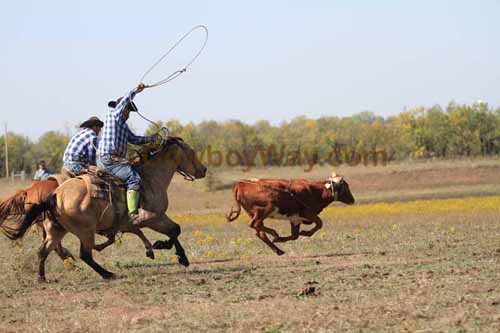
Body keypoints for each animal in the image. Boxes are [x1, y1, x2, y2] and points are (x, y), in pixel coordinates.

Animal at [0, 137, 207, 280]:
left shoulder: (140, 221)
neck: (150, 178)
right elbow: (174, 230)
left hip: (56, 230)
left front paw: (169, 253)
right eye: (191, 153)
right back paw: (107, 274)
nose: (203, 170)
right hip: (85, 231)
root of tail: (54, 194)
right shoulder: (152, 217)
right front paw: (169, 250)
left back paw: (42, 277)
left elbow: (170, 230)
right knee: (84, 254)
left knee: (44, 251)